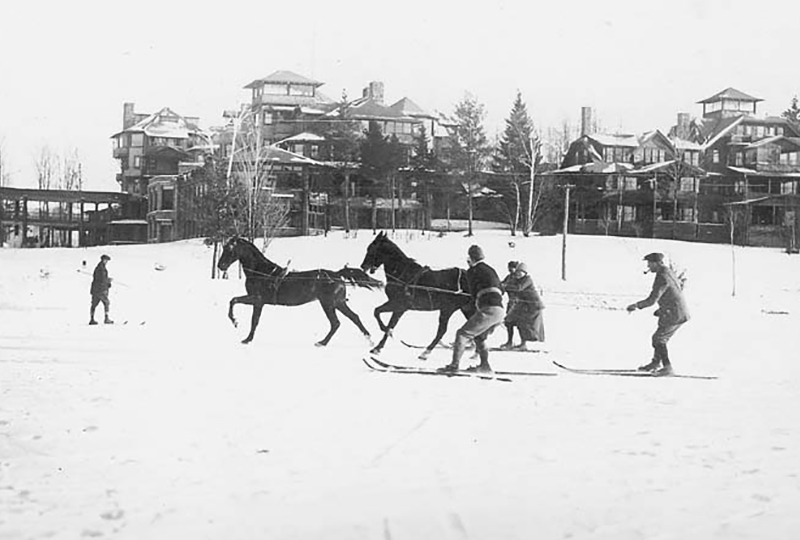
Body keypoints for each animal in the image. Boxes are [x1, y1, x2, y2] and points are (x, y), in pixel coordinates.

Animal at [217, 237, 382, 346]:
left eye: (229, 249)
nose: (220, 266)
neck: (261, 272)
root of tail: (337, 275)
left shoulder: (257, 299)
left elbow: (239, 306)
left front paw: (238, 326)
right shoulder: (258, 302)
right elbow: (246, 313)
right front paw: (245, 336)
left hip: (328, 303)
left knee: (336, 323)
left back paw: (322, 342)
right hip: (338, 303)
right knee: (354, 317)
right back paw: (370, 340)